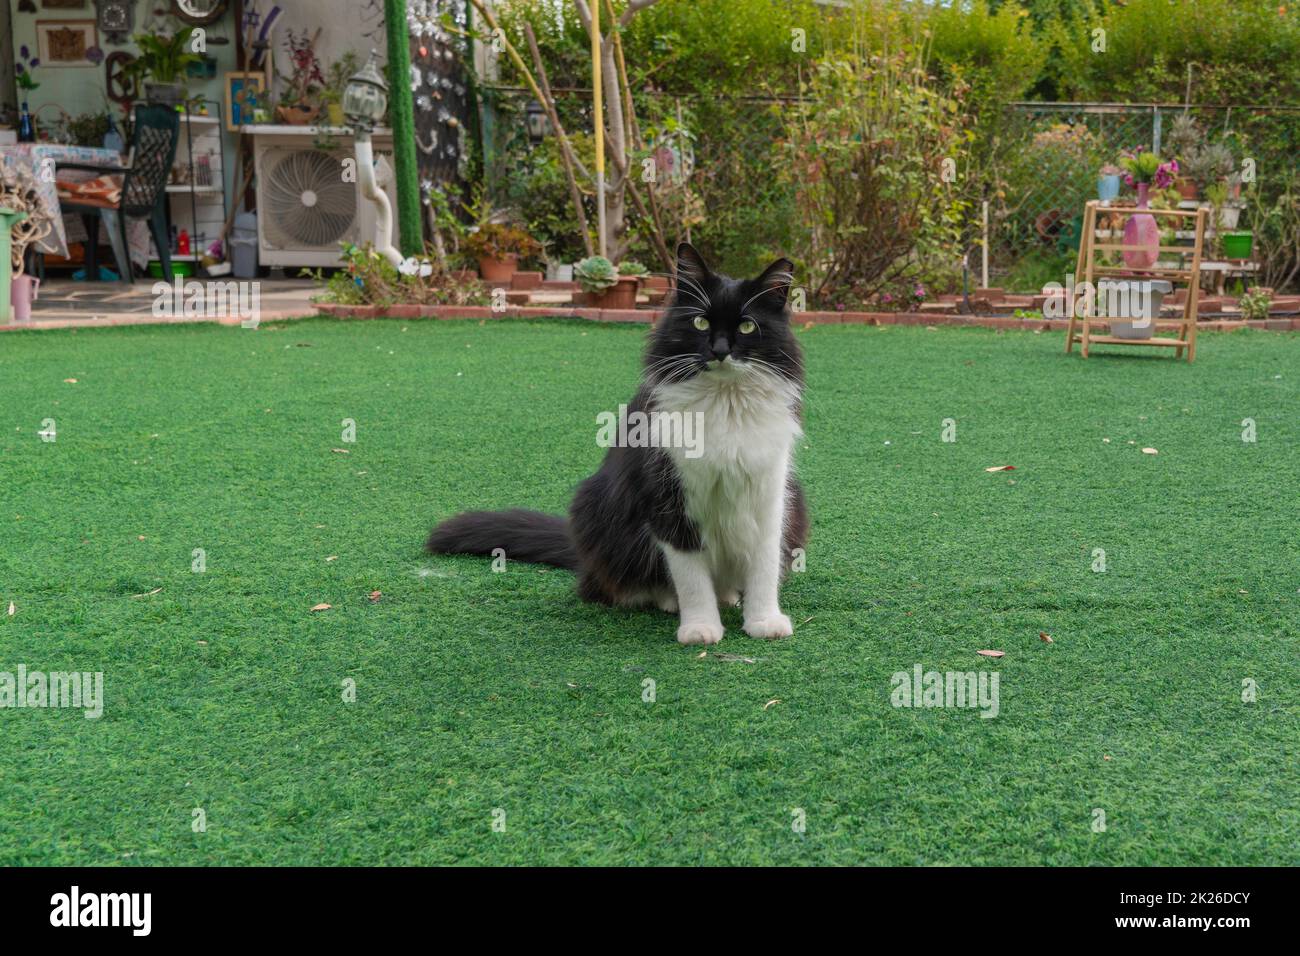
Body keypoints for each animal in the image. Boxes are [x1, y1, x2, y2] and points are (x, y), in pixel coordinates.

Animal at [431, 243, 806, 647]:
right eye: (700, 323)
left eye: (747, 326)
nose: (720, 350)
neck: (725, 404)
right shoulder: (669, 496)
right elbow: (691, 575)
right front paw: (700, 627)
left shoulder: (770, 491)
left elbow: (764, 565)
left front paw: (764, 620)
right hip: (597, 508)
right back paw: (668, 601)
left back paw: (729, 596)